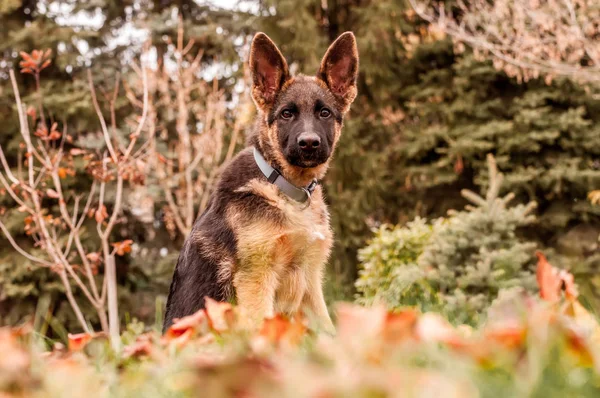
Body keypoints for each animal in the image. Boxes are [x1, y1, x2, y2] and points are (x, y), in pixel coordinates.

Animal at [164, 31, 358, 332]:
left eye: (324, 113)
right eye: (286, 114)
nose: (309, 144)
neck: (284, 188)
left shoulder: (310, 280)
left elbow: (327, 328)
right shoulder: (256, 278)